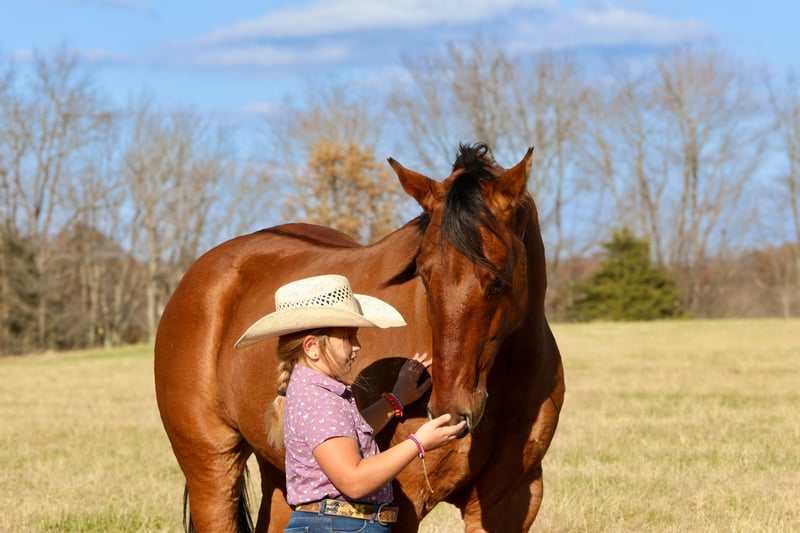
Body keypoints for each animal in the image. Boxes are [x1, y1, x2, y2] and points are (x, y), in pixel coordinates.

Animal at [154, 142, 565, 532]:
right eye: (424, 274)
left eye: (497, 282)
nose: (450, 412)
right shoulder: (403, 505)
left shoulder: (507, 503)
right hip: (212, 471)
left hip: (281, 475)